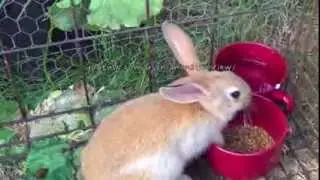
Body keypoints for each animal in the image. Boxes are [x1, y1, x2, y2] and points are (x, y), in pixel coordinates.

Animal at [79, 21, 250, 180]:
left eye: (228, 72)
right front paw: (223, 143)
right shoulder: (205, 135)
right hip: (167, 166)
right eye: (235, 94)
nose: (250, 96)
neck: (204, 106)